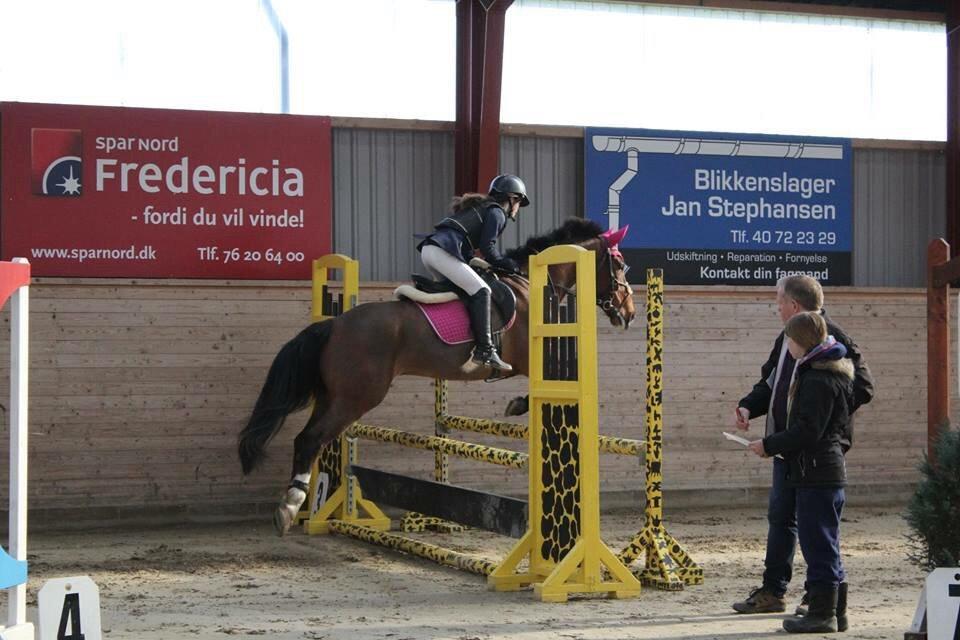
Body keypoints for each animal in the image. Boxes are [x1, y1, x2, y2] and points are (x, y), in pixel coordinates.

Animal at [237, 220, 632, 536]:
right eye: (621, 265)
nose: (627, 313)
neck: (529, 284)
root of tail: (334, 324)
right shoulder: (528, 358)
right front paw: (516, 403)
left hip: (333, 396)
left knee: (308, 438)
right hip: (356, 397)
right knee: (310, 439)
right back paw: (289, 506)